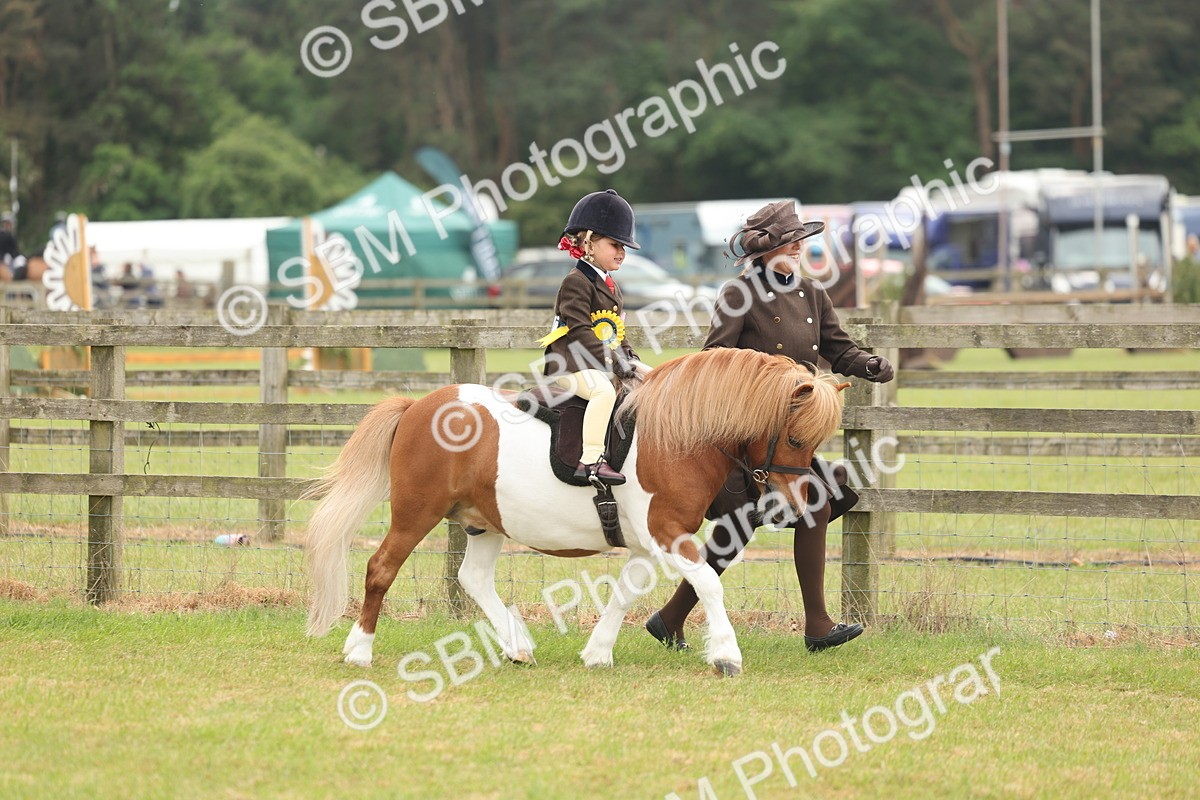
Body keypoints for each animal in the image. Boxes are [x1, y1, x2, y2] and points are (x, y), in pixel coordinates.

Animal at [304, 347, 849, 675]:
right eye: (795, 438)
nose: (797, 506)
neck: (676, 435)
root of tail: (418, 407)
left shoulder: (648, 542)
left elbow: (626, 594)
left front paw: (598, 653)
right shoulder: (666, 531)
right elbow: (709, 584)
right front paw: (727, 655)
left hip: (484, 522)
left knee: (473, 579)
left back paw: (517, 645)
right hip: (416, 513)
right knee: (381, 567)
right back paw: (359, 650)